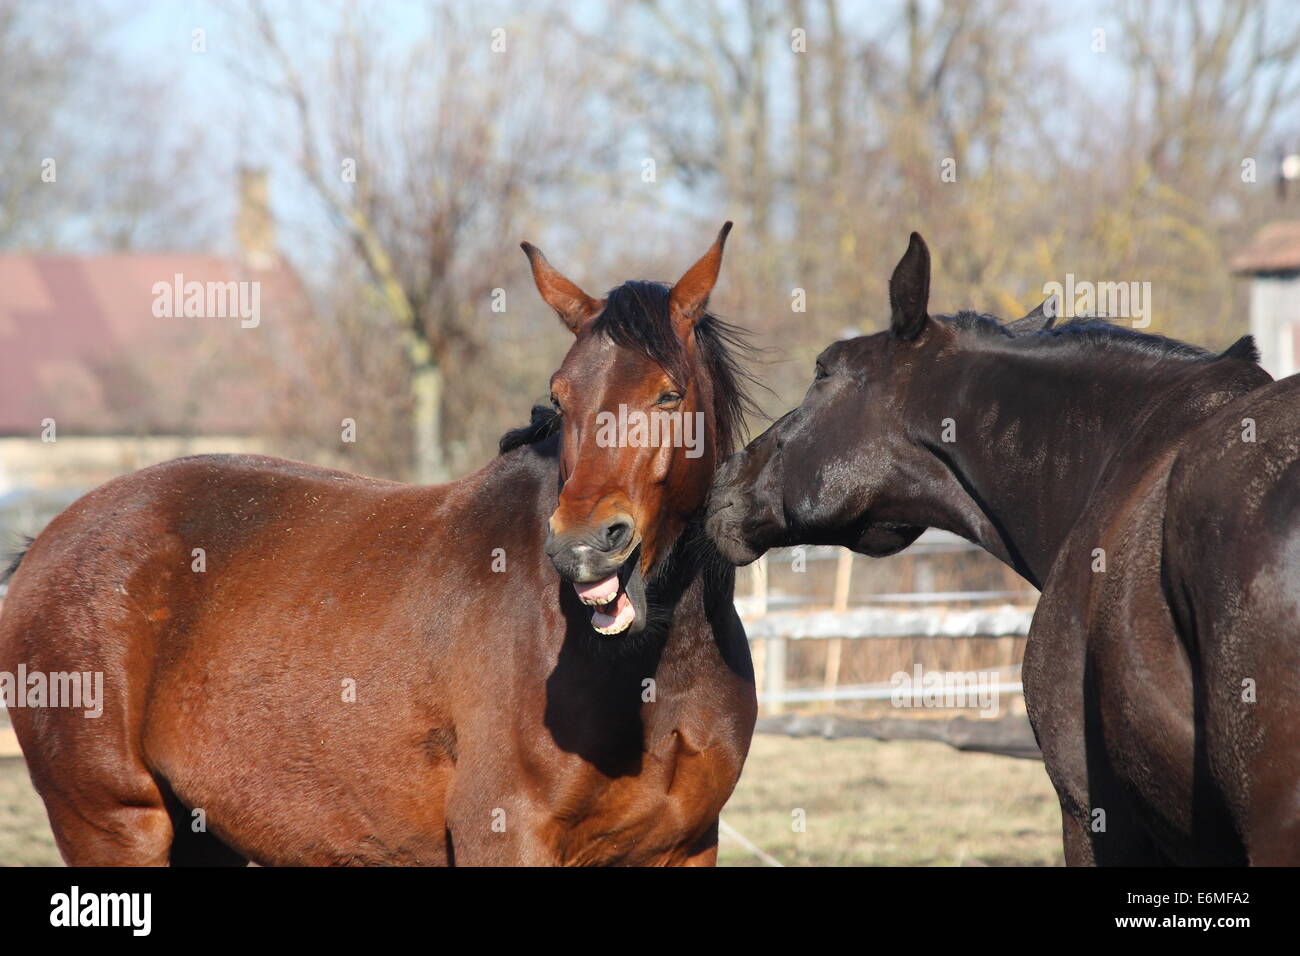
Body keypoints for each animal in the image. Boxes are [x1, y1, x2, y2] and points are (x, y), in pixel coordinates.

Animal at [0, 223, 759, 868]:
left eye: (669, 394)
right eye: (561, 396)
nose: (583, 547)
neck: (650, 669)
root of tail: (46, 544)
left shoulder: (686, 846)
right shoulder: (504, 835)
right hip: (115, 823)